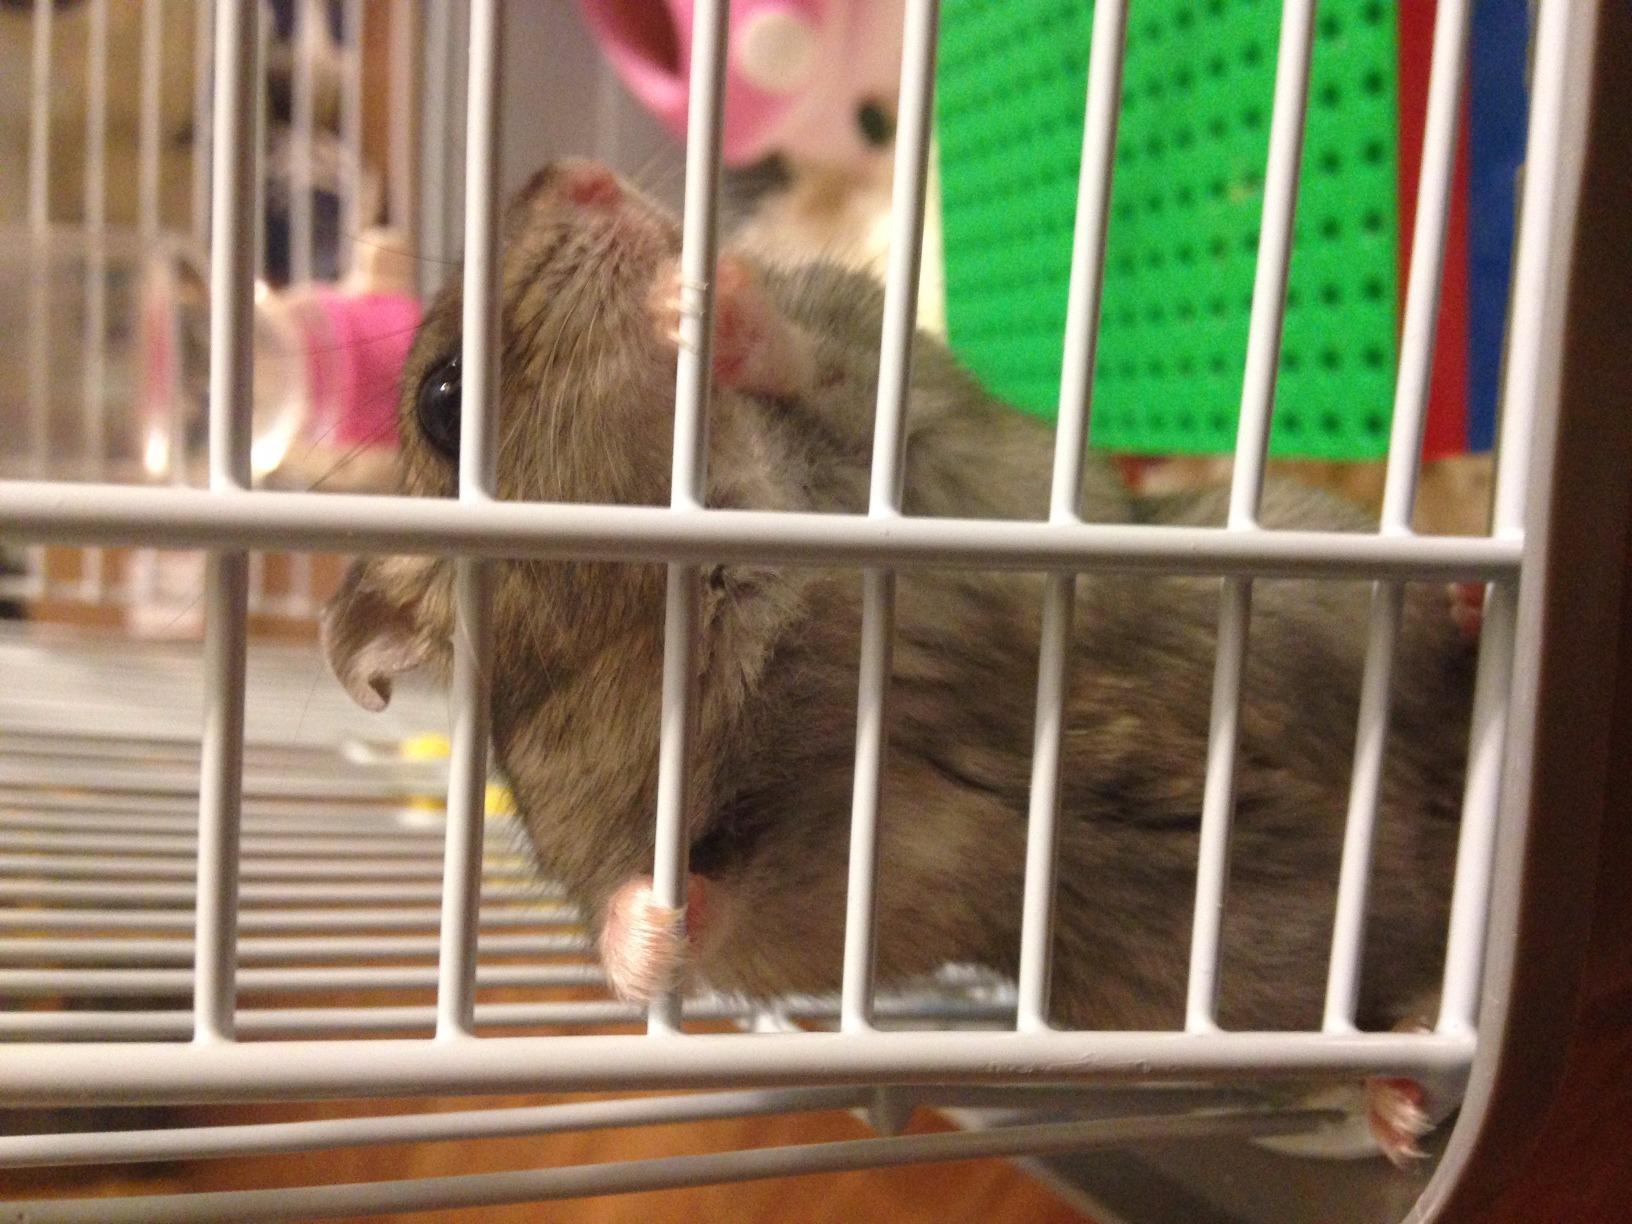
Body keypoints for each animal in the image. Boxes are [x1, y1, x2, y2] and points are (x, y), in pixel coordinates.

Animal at [323, 160, 1476, 1161]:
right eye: (443, 397)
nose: (574, 170)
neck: (717, 573)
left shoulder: (926, 447)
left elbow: (836, 372)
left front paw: (698, 302)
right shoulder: (752, 865)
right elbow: (712, 911)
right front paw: (650, 924)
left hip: (1302, 559)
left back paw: (1464, 605)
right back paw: (1395, 1097)